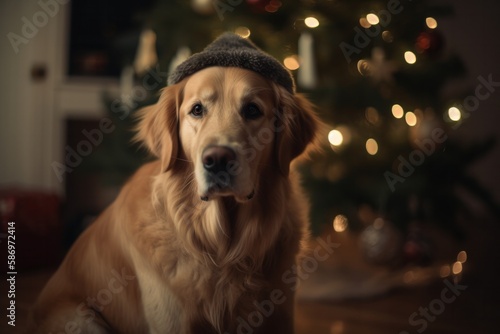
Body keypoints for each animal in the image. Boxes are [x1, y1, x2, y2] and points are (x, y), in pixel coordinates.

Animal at [28, 43, 320, 332]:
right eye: (197, 109)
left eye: (252, 110)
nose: (217, 160)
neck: (220, 249)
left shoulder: (279, 315)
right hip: (83, 319)